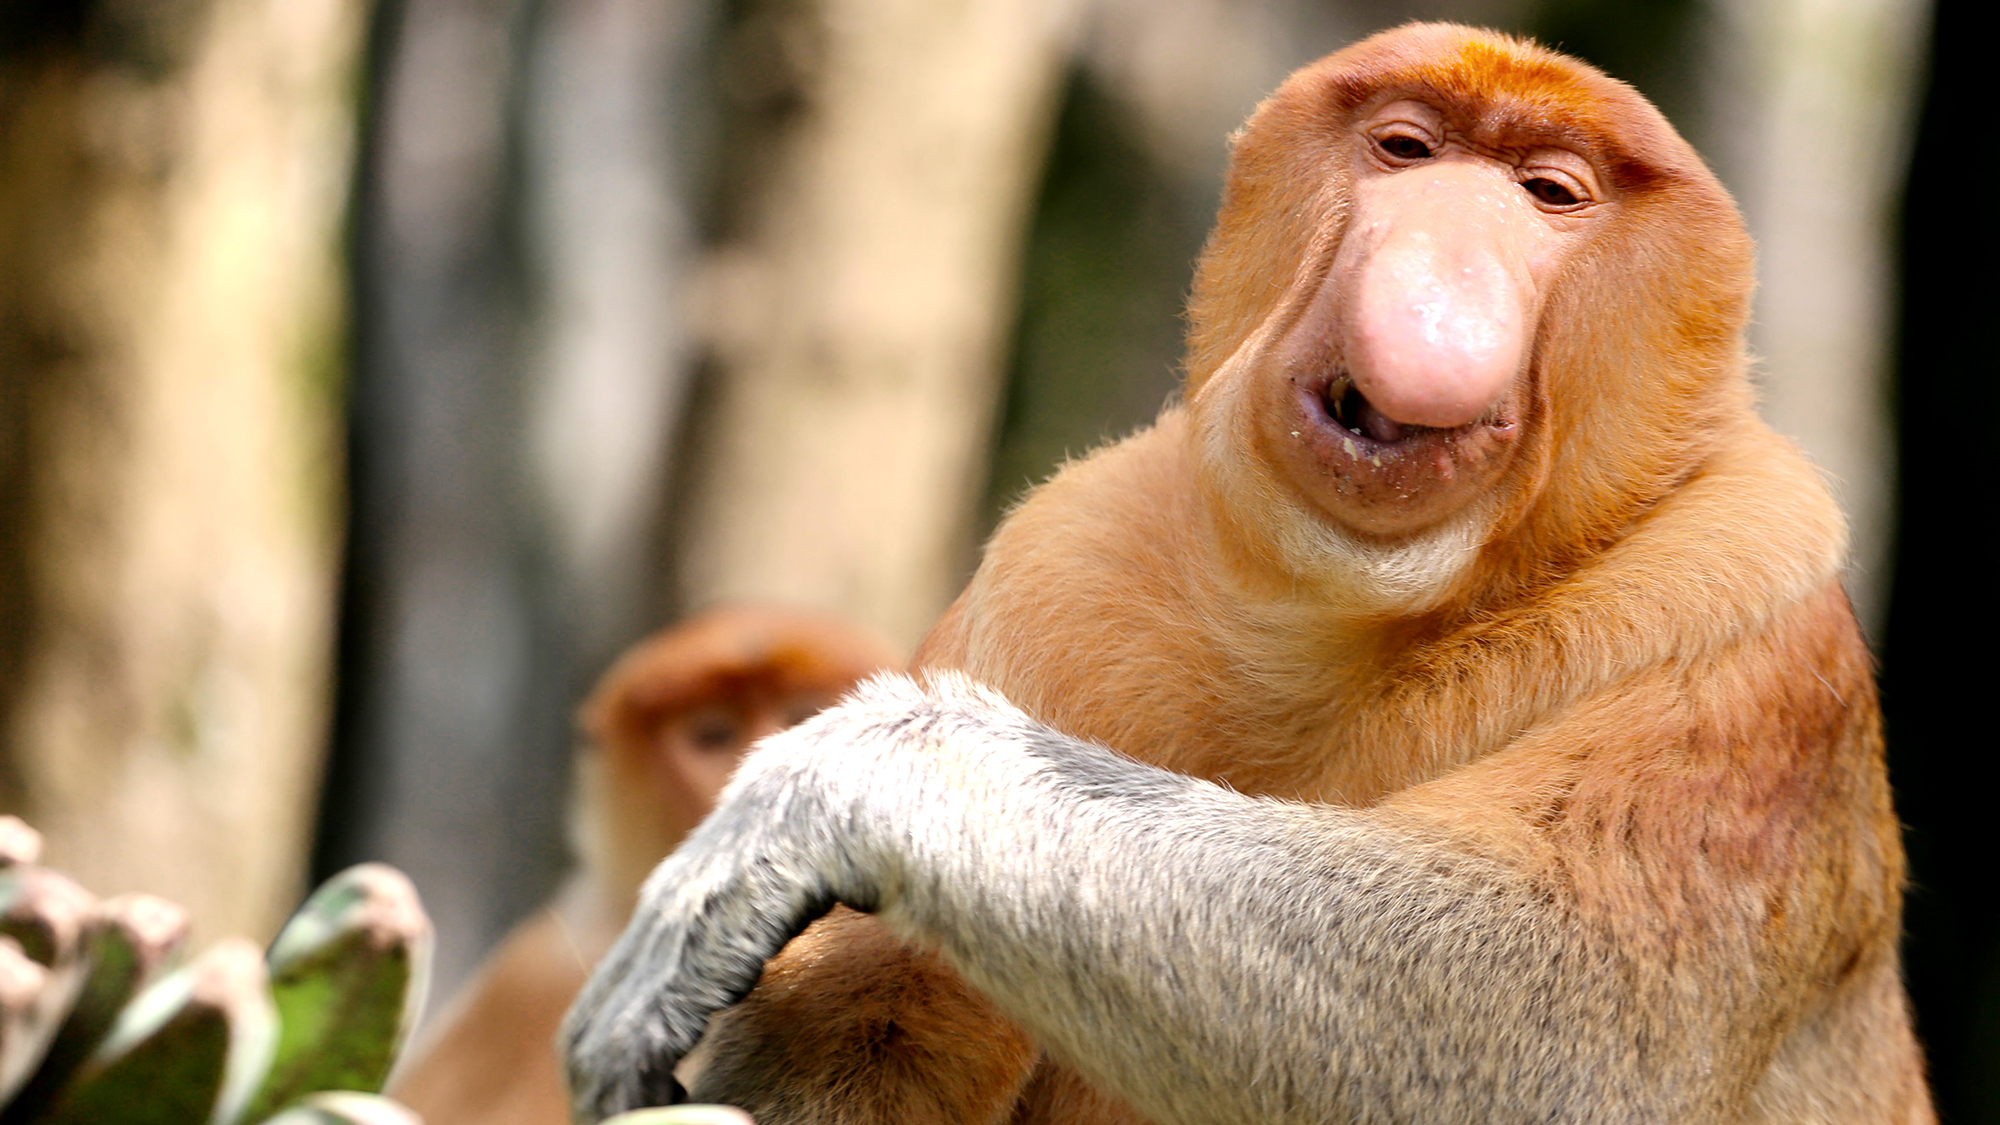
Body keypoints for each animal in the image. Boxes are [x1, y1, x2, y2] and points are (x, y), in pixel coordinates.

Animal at [568, 26, 1936, 1120]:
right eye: (1402, 150)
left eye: (1549, 192)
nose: (1433, 259)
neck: (1351, 613)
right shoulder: (1060, 568)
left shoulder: (1746, 626)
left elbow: (1573, 1021)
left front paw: (817, 800)